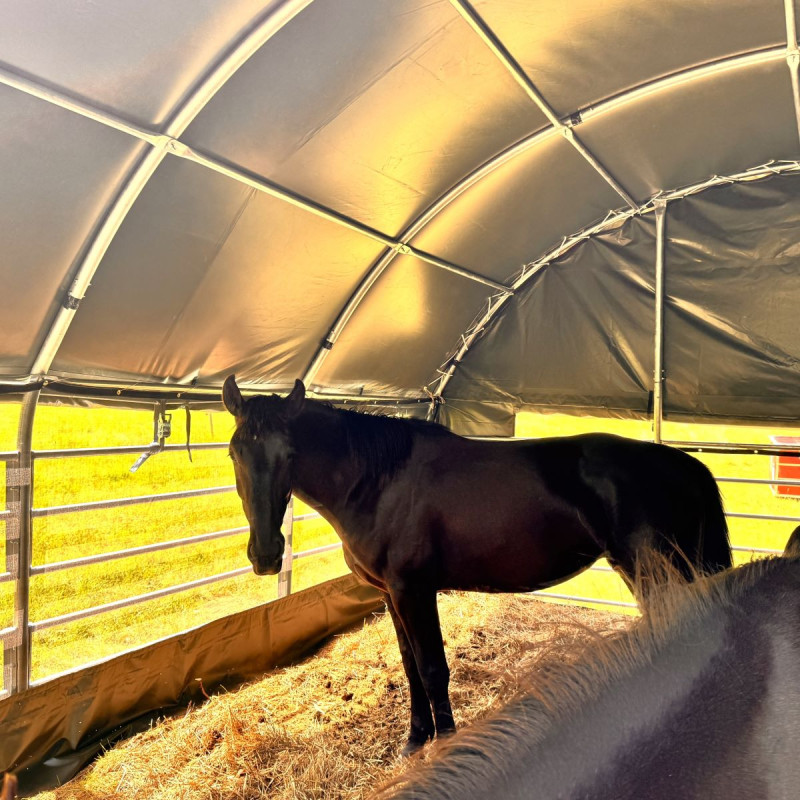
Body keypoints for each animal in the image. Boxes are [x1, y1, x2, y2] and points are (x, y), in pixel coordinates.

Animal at [221, 376, 731, 753]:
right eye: (233, 452)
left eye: (289, 454)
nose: (266, 554)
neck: (380, 482)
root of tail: (685, 466)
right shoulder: (391, 595)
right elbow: (410, 668)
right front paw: (415, 740)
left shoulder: (414, 591)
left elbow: (433, 669)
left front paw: (444, 746)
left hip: (655, 573)